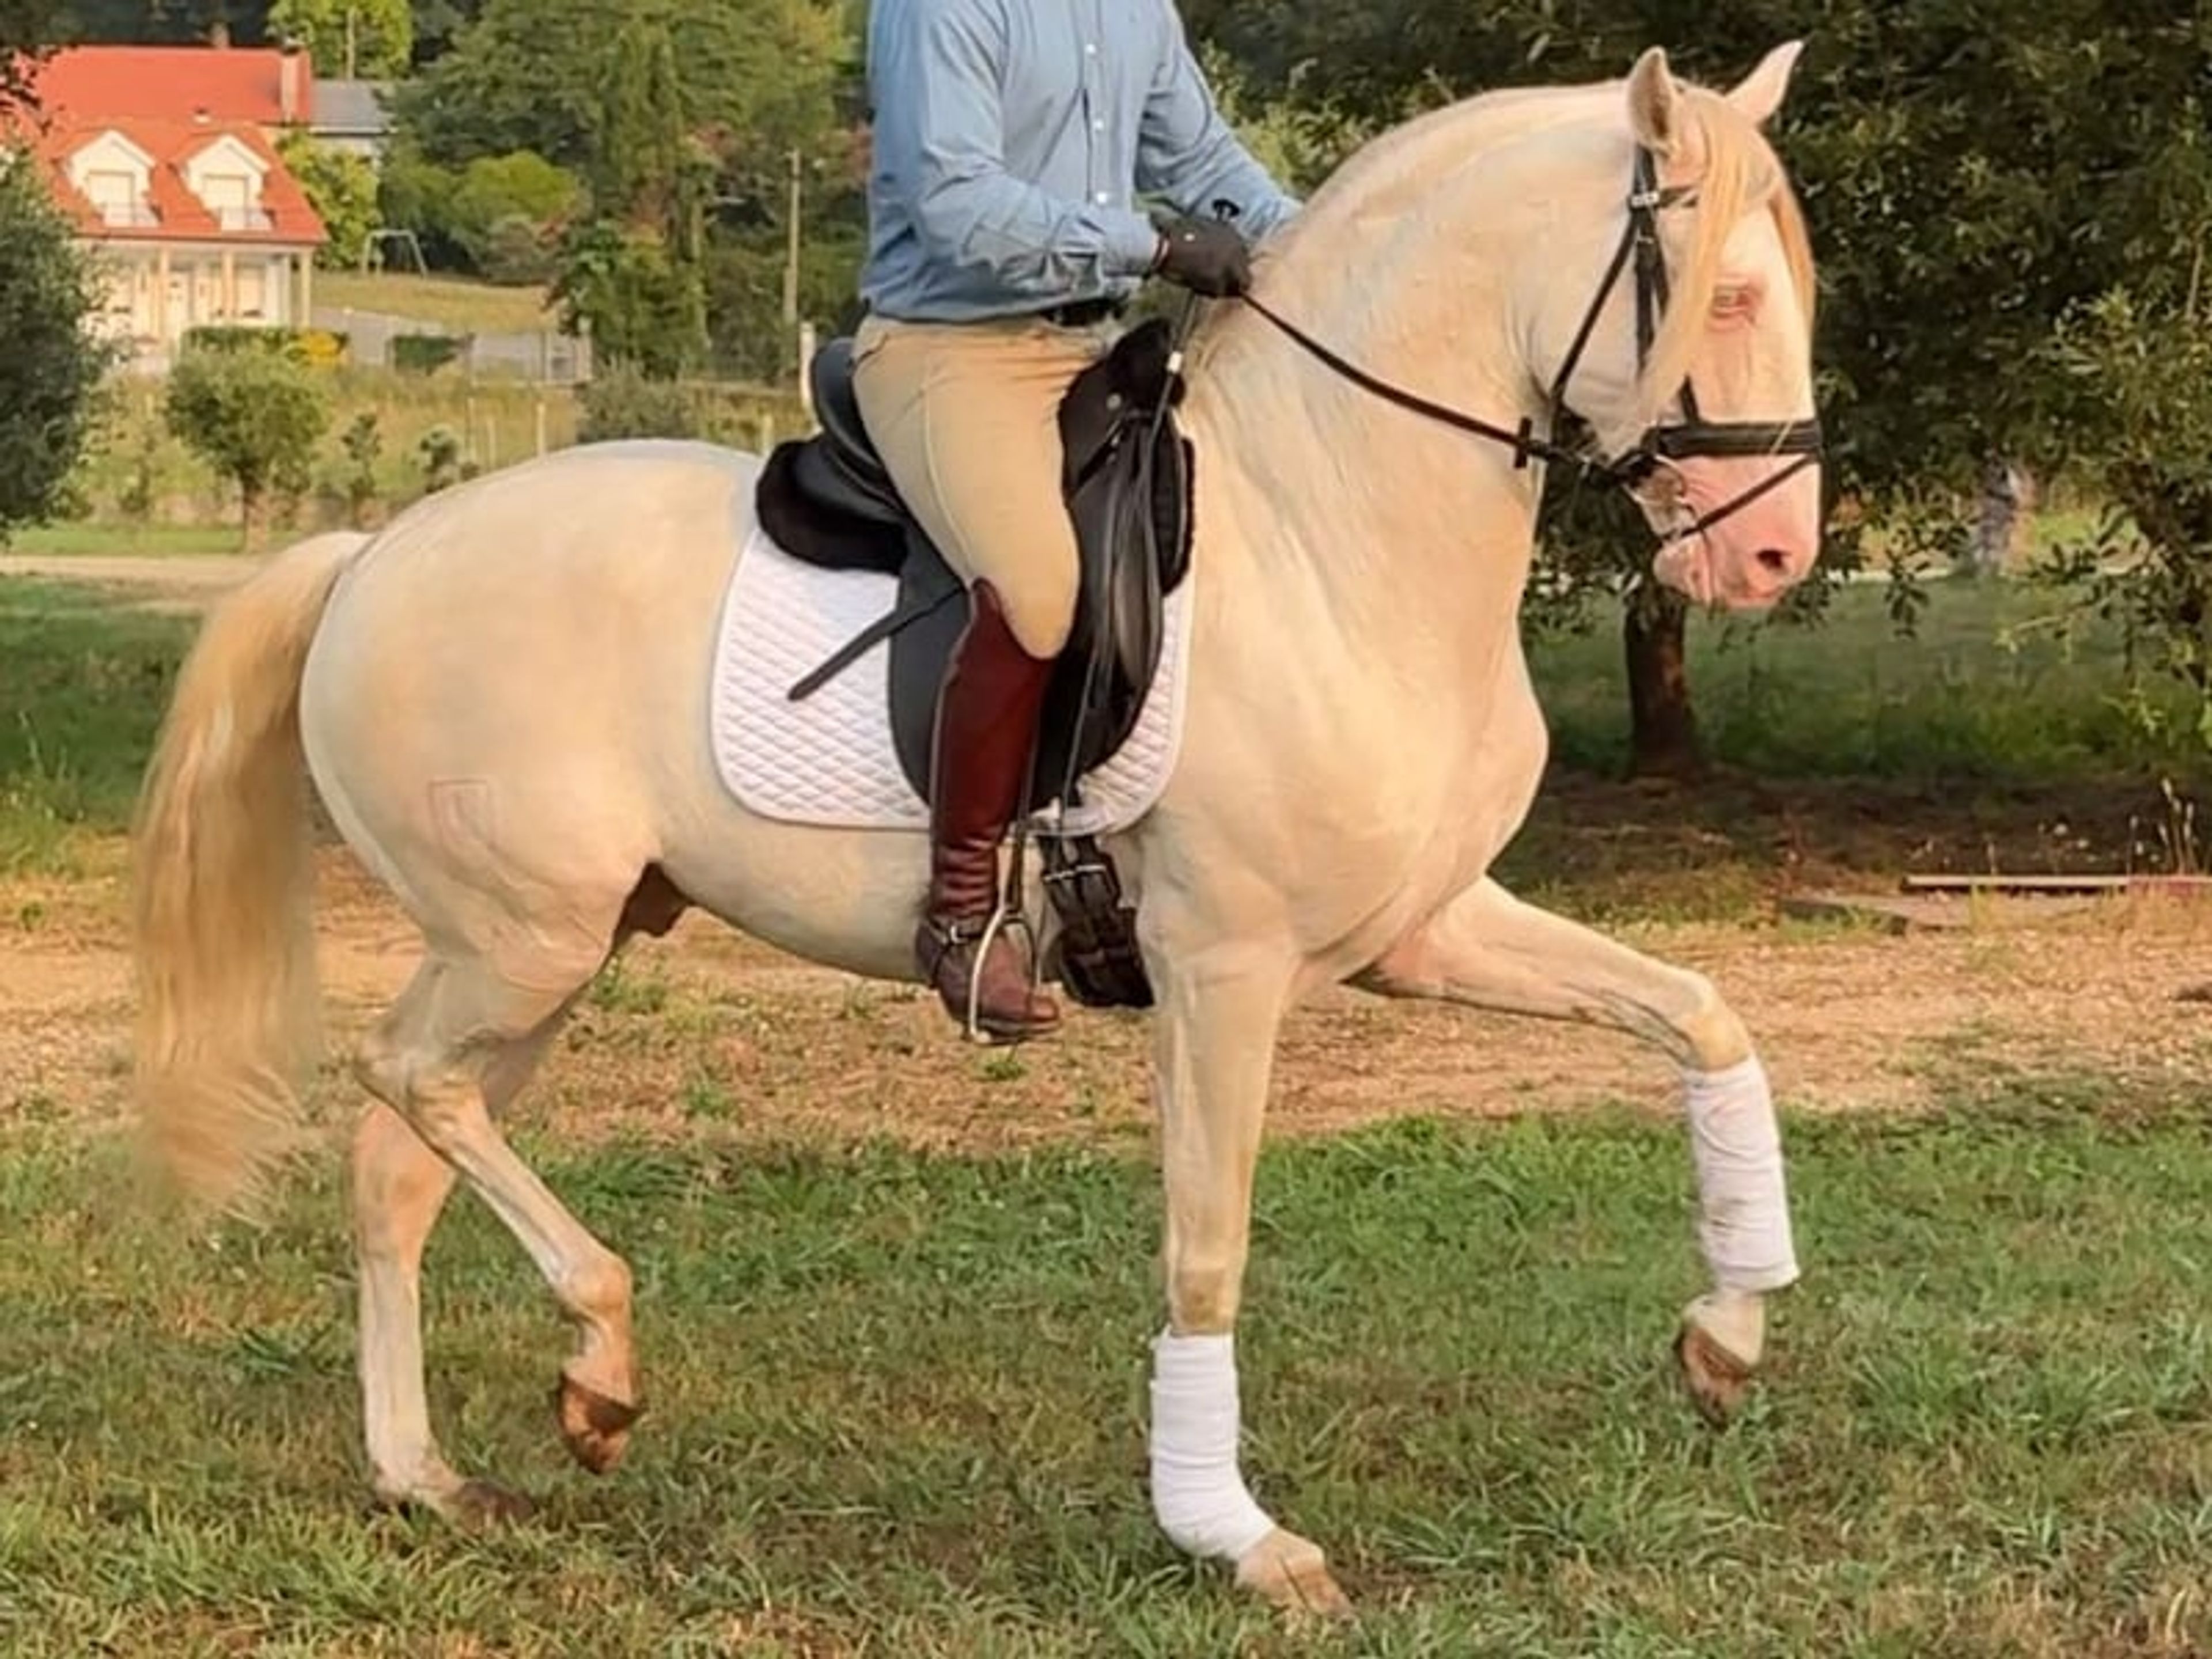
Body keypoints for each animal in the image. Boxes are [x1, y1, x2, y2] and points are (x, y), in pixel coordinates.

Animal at [127, 43, 1825, 1617]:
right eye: (1729, 294)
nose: (1776, 557)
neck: (1331, 531)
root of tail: (368, 558)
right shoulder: (1222, 970)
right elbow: (1205, 1246)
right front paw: (1235, 1535)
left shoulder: (1422, 928)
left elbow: (1703, 1019)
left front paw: (1728, 1338)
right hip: (520, 938)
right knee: (403, 1084)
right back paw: (601, 1357)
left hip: (561, 949)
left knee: (395, 1160)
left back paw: (430, 1471)